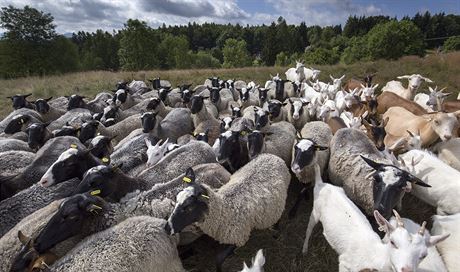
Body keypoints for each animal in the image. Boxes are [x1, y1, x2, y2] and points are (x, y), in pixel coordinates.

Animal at [302, 163, 450, 270]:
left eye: (424, 255)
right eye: (393, 242)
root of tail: (322, 184)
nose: (406, 269)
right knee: (308, 229)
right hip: (315, 212)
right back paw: (304, 249)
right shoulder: (345, 263)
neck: (376, 255)